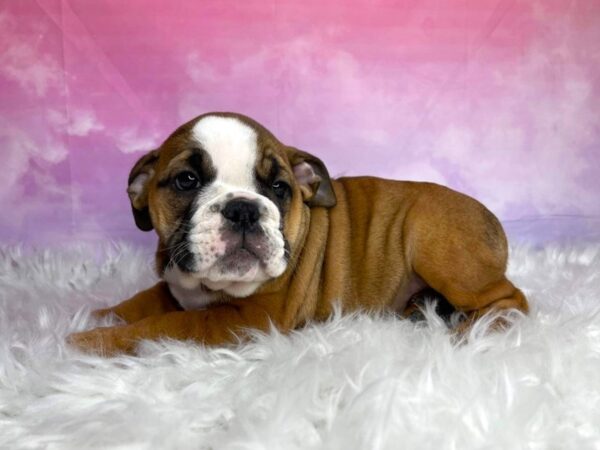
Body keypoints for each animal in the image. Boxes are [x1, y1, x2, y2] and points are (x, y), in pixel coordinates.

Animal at [67, 111, 528, 356]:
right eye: (186, 180)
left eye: (278, 187)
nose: (243, 208)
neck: (208, 286)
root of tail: (490, 218)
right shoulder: (175, 284)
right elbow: (143, 302)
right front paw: (100, 314)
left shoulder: (246, 318)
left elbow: (161, 327)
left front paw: (88, 340)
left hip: (436, 245)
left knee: (511, 299)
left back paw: (475, 331)